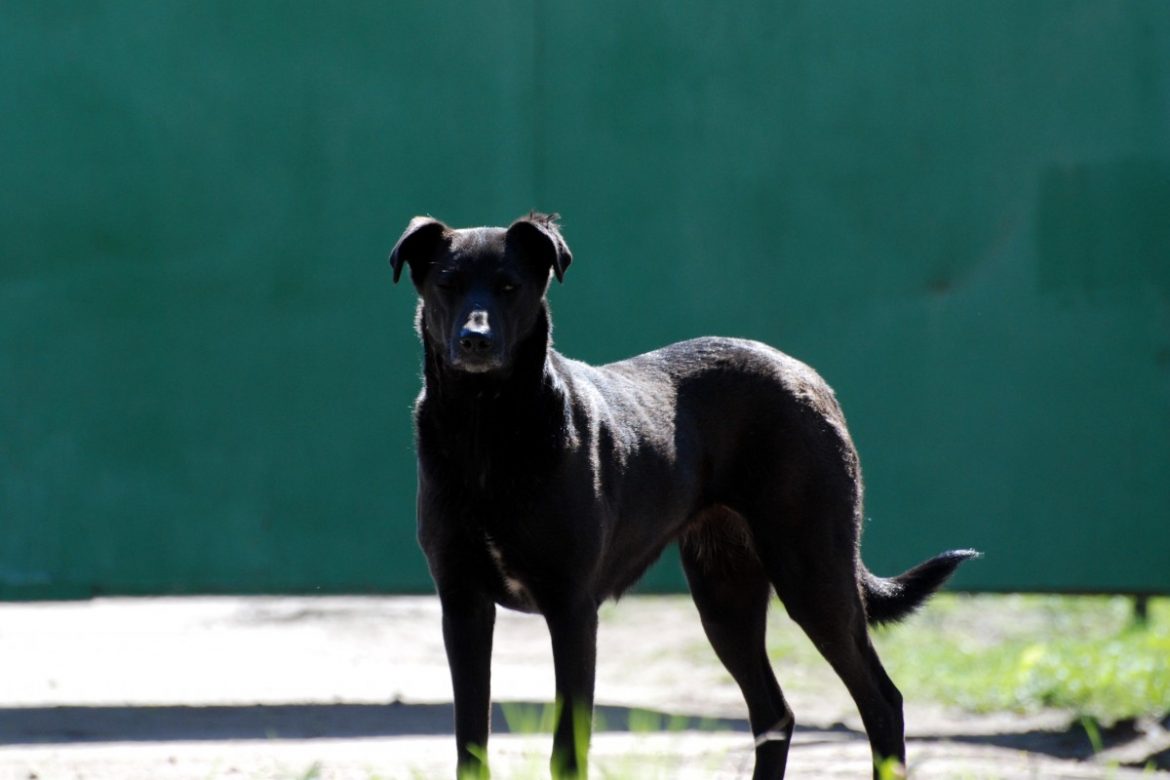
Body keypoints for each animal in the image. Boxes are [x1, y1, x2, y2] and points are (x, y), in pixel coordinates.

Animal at [393, 210, 978, 776]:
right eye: (447, 284)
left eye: (509, 286)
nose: (475, 340)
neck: (486, 428)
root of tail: (805, 375)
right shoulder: (463, 607)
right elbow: (470, 746)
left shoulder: (573, 610)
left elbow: (567, 751)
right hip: (726, 597)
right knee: (775, 713)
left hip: (813, 576)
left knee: (881, 703)